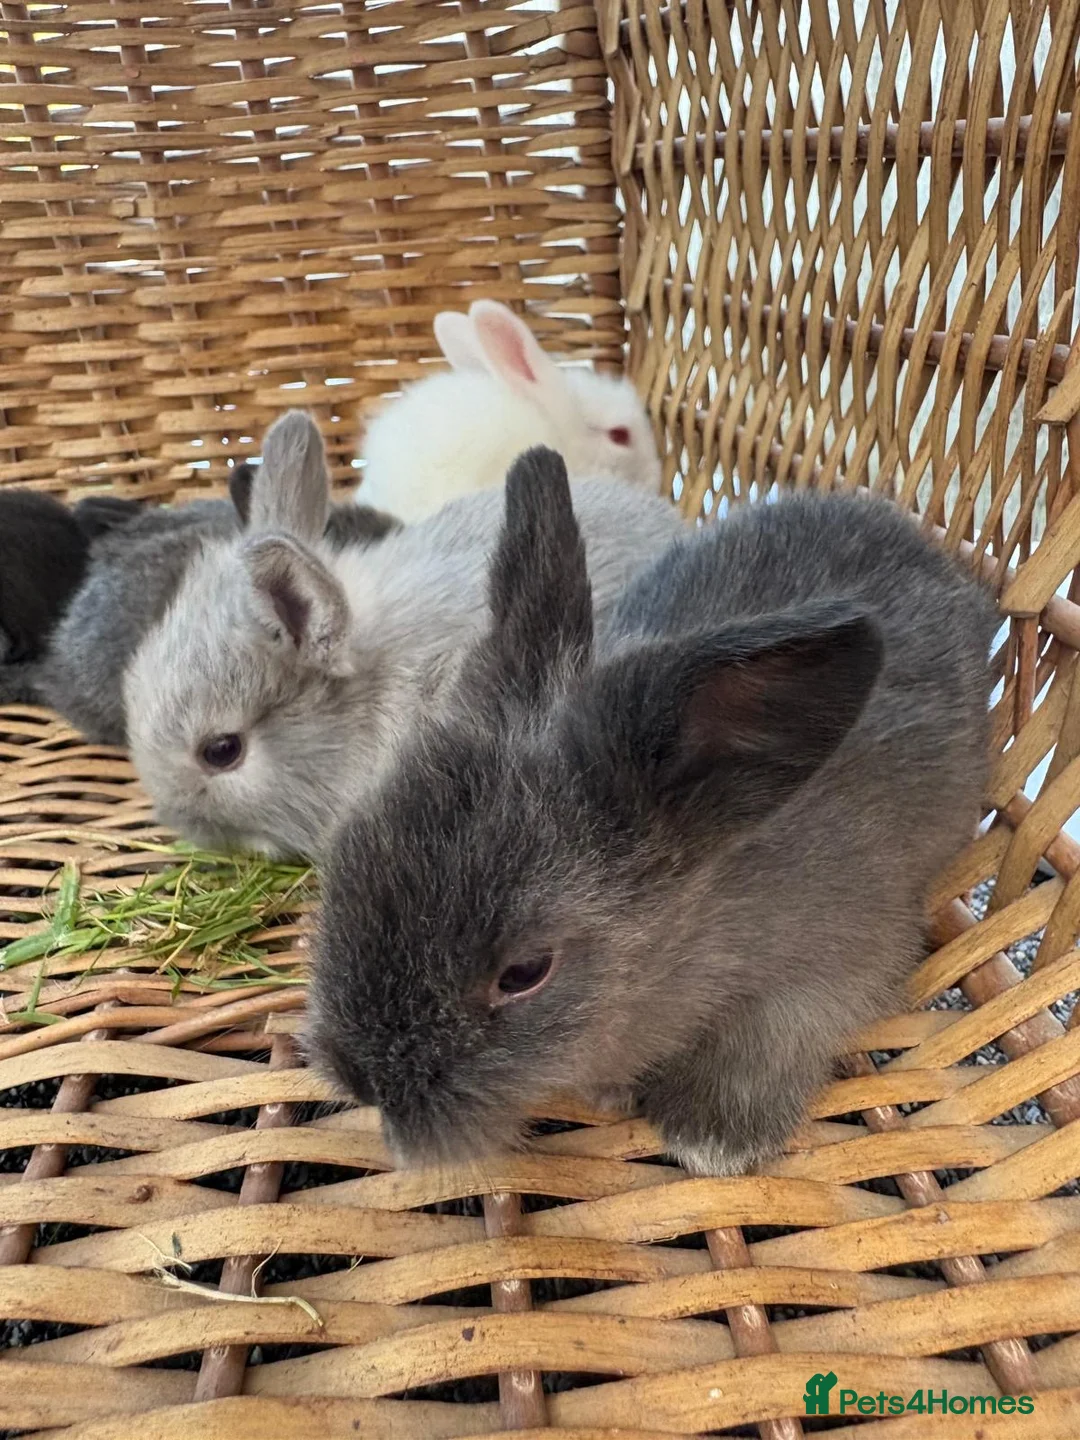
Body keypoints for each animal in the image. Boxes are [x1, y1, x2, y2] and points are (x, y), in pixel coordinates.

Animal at [308, 447, 998, 1177]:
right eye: (348, 853)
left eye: (524, 973)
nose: (360, 1079)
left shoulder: (835, 965)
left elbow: (767, 1042)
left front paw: (710, 1141)